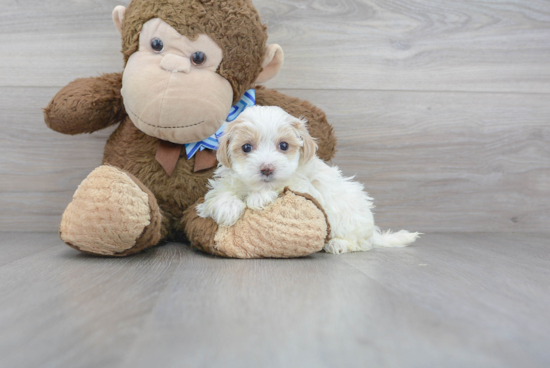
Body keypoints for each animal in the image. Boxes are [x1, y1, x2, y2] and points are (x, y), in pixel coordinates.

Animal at [197, 105, 418, 253]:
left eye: (284, 145)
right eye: (246, 147)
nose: (267, 168)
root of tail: (373, 233)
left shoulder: (304, 185)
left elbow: (281, 187)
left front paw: (258, 197)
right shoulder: (225, 182)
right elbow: (219, 194)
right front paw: (227, 208)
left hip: (350, 217)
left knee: (361, 244)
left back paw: (338, 243)